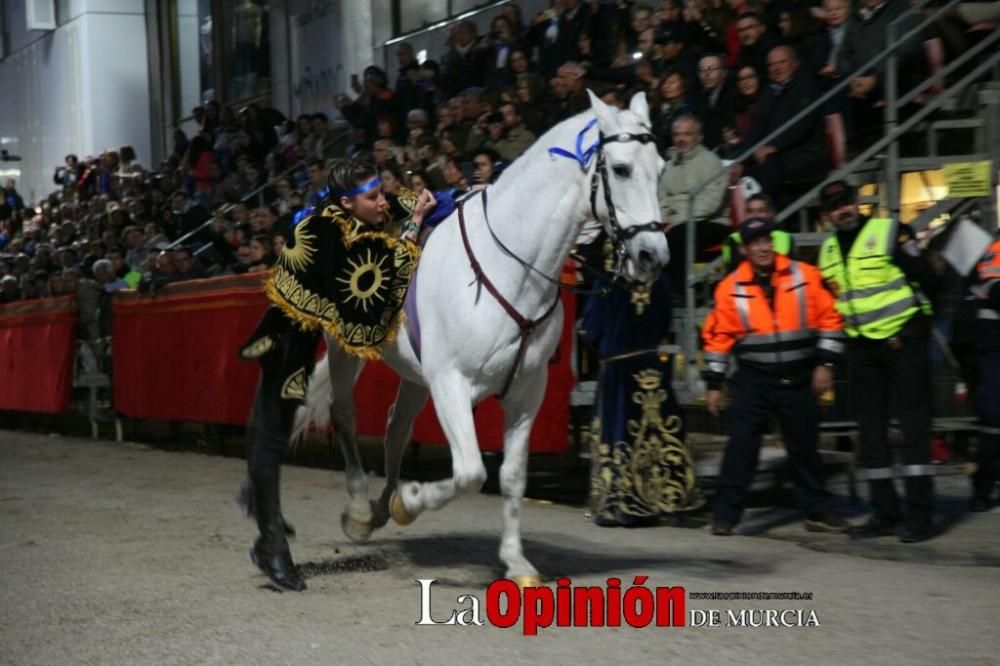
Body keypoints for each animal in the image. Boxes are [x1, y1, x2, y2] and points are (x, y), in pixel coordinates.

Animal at [296, 92, 672, 580]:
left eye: (660, 168)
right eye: (622, 169)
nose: (652, 256)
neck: (510, 266)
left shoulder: (527, 391)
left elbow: (511, 477)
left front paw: (515, 561)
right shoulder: (452, 383)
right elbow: (472, 472)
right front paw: (412, 501)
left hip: (417, 375)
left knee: (396, 427)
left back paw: (383, 505)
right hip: (348, 350)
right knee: (344, 413)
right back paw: (362, 510)